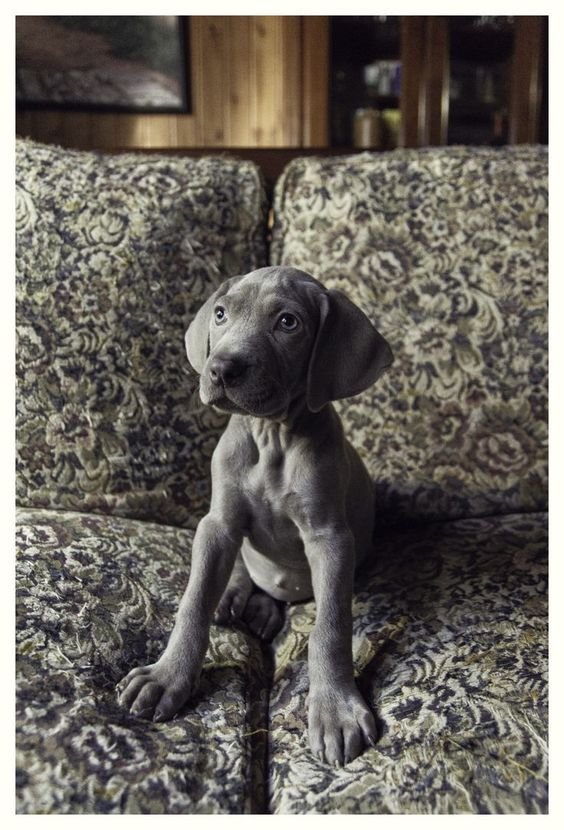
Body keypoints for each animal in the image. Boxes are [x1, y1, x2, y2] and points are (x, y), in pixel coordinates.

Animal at [118, 266, 392, 768]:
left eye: (288, 322)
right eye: (221, 314)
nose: (220, 369)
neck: (271, 438)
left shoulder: (330, 538)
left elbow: (330, 626)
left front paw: (335, 709)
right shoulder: (217, 525)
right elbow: (193, 602)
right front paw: (167, 677)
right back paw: (237, 596)